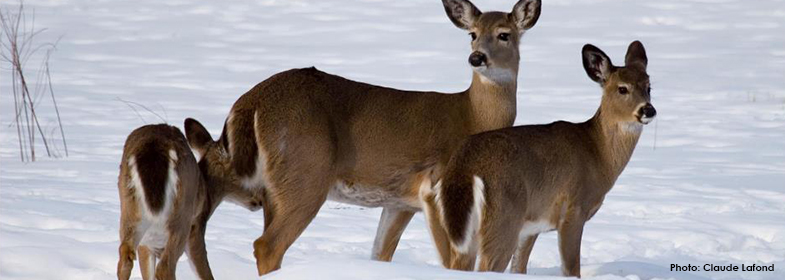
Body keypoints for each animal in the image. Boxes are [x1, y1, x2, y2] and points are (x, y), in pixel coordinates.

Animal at [115, 124, 264, 280]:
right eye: (248, 170)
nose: (261, 198)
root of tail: (152, 149)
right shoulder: (196, 226)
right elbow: (205, 272)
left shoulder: (147, 243)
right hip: (181, 217)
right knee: (165, 266)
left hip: (130, 213)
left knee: (125, 259)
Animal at [181, 0, 544, 276]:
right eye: (472, 34)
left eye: (504, 35)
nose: (476, 57)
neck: (474, 117)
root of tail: (251, 100)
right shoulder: (435, 185)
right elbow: (455, 261)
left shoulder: (399, 202)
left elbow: (380, 254)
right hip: (306, 171)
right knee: (266, 245)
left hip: (273, 185)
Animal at [422, 40, 656, 276]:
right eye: (622, 88)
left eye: (648, 87)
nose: (648, 110)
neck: (597, 153)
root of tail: (464, 168)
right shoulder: (572, 209)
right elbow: (571, 269)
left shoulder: (531, 226)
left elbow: (519, 268)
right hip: (503, 218)